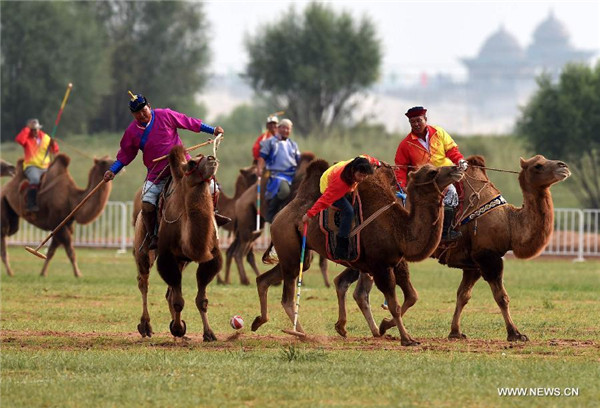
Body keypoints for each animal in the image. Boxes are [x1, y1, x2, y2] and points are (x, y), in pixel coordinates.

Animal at [134, 145, 223, 340]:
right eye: (192, 163)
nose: (212, 158)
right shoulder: (167, 256)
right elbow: (178, 301)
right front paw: (177, 328)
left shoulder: (211, 255)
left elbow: (201, 300)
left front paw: (209, 333)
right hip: (142, 248)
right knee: (144, 282)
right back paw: (146, 326)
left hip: (182, 261)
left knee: (168, 292)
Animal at [251, 159, 462, 344]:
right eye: (433, 172)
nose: (456, 168)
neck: (399, 229)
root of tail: (280, 215)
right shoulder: (380, 266)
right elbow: (394, 305)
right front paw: (406, 339)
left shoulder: (396, 262)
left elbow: (411, 296)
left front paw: (385, 327)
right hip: (290, 249)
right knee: (287, 298)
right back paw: (302, 334)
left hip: (297, 255)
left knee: (264, 280)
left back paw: (259, 321)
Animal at [336, 155, 568, 342]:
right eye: (538, 165)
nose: (563, 166)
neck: (509, 221)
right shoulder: (488, 257)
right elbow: (501, 297)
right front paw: (515, 334)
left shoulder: (473, 264)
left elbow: (463, 295)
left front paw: (455, 332)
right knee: (361, 290)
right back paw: (373, 329)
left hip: (362, 256)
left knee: (348, 284)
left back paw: (355, 328)